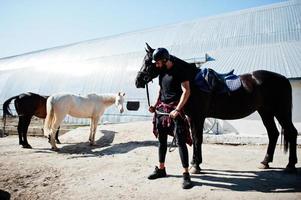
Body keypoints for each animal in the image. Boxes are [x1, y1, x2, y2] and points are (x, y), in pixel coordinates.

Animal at [136, 43, 298, 172]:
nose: (138, 81)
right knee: (273, 134)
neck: (191, 82)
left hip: (281, 112)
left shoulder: (198, 116)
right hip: (265, 112)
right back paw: (265, 162)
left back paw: (290, 165)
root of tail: (283, 79)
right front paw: (195, 162)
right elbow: (195, 138)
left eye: (148, 61)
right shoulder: (192, 117)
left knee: (291, 132)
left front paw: (196, 165)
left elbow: (197, 138)